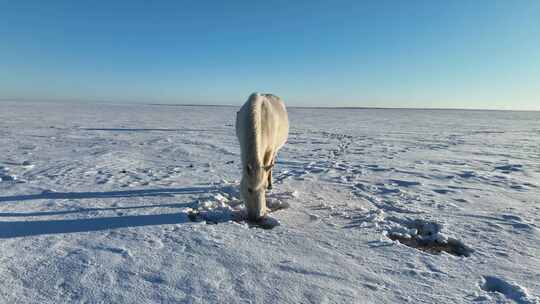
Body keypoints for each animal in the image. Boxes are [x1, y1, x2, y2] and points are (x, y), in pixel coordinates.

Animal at [235, 92, 288, 221]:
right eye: (249, 189)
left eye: (263, 188)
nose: (258, 216)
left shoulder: (269, 149)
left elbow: (267, 166)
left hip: (275, 149)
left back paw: (271, 184)